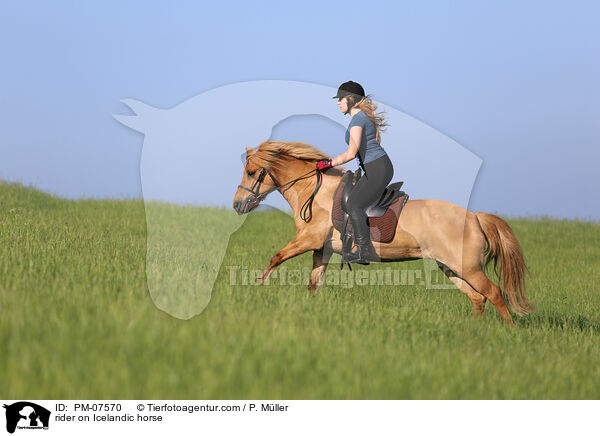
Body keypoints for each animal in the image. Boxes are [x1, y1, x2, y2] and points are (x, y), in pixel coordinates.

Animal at [232, 140, 536, 324]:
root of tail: (474, 217)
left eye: (251, 172)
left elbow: (276, 257)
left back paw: (508, 332)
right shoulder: (322, 249)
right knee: (477, 298)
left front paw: (257, 287)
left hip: (467, 267)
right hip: (450, 267)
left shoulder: (308, 240)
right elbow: (313, 283)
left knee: (493, 293)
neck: (314, 193)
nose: (237, 205)